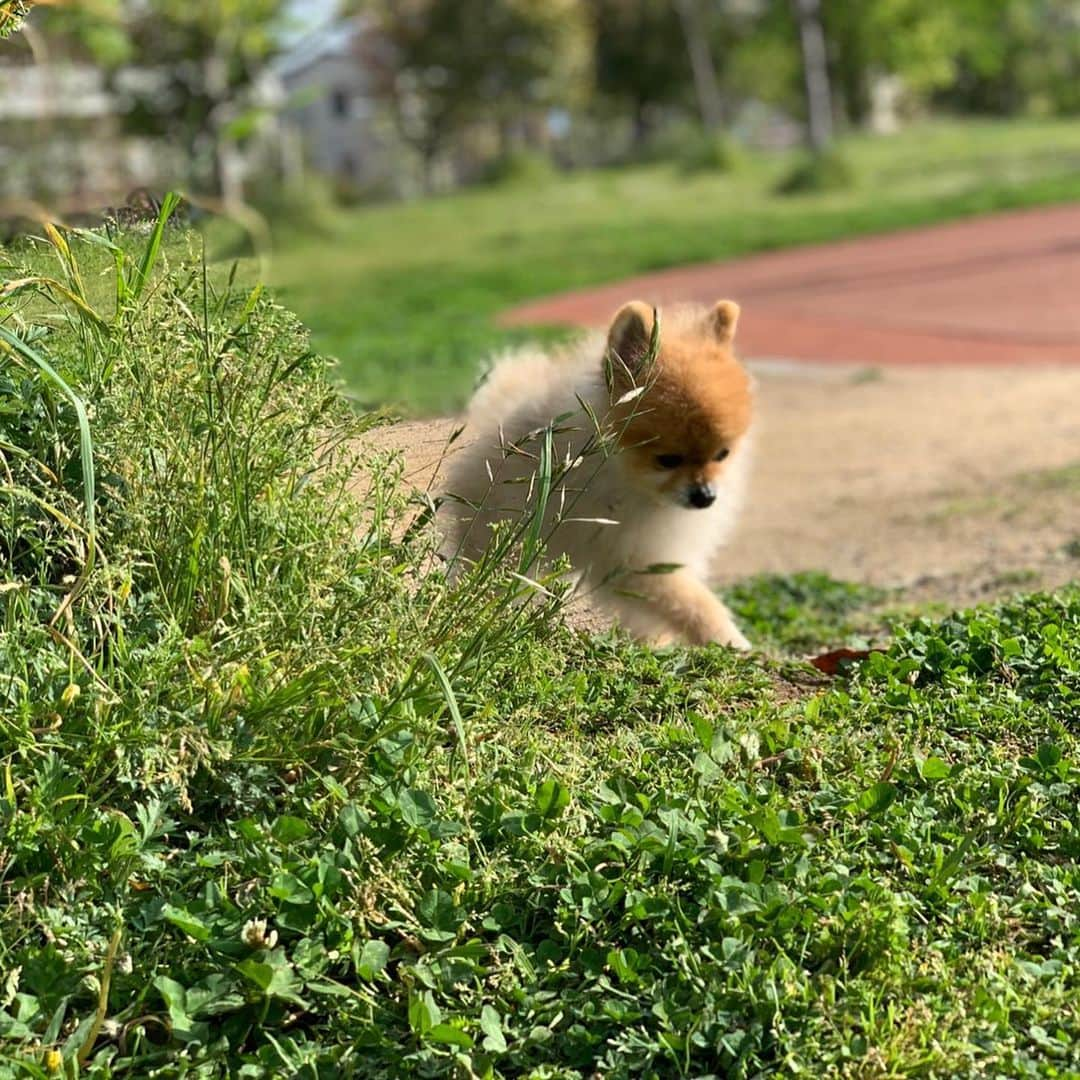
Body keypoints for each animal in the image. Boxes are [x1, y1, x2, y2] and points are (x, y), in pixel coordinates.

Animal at [434, 298, 756, 648]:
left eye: (722, 454)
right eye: (668, 460)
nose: (705, 496)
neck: (623, 477)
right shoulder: (630, 554)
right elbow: (692, 601)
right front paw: (732, 640)